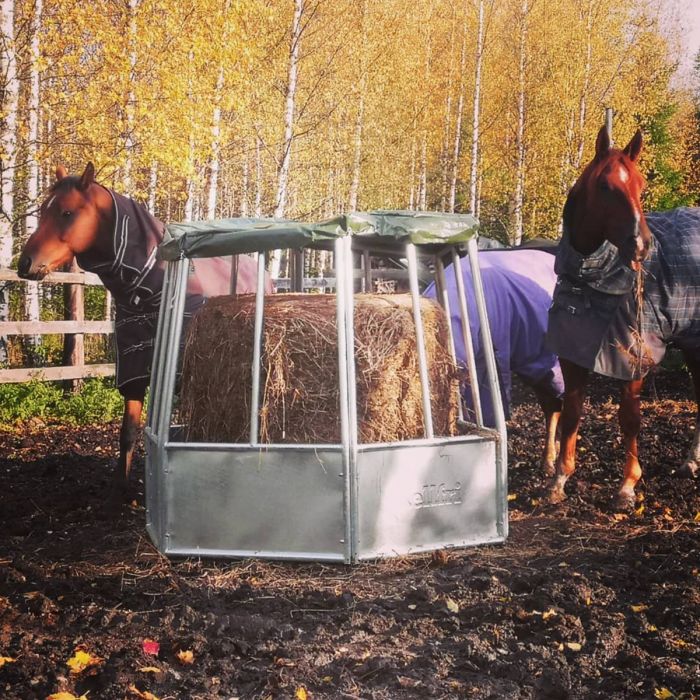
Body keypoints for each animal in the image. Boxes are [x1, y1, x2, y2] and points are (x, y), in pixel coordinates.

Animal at [17, 163, 270, 504]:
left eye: (67, 212)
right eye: (43, 210)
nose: (24, 263)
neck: (146, 292)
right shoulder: (133, 370)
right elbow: (128, 432)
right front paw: (120, 491)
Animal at [548, 127, 700, 508]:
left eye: (641, 185)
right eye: (605, 186)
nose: (641, 245)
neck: (592, 280)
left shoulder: (632, 358)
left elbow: (629, 419)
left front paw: (627, 486)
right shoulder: (573, 353)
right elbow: (572, 413)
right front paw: (560, 478)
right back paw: (690, 462)